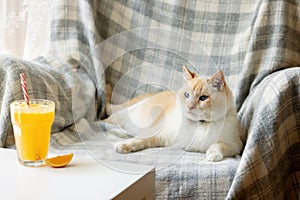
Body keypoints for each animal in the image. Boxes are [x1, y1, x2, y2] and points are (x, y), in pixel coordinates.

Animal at [104, 65, 245, 162]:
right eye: (187, 95)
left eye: (203, 98)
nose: (189, 106)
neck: (200, 124)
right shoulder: (161, 134)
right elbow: (141, 139)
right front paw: (122, 145)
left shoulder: (236, 145)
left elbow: (219, 146)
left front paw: (212, 155)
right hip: (126, 112)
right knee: (109, 114)